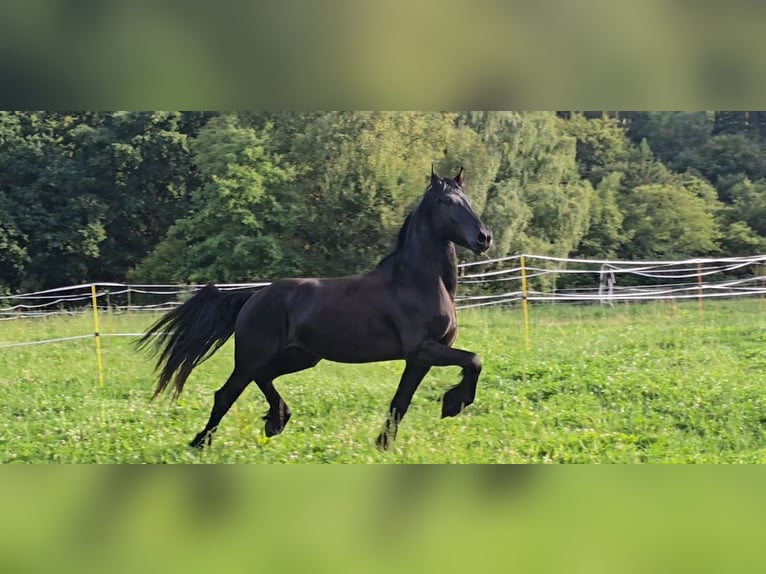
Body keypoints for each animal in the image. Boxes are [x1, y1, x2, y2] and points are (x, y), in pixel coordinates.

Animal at [137, 167, 492, 450]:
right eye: (447, 202)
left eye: (468, 199)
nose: (483, 238)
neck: (418, 282)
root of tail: (254, 295)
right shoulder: (421, 349)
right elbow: (474, 359)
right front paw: (453, 404)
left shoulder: (420, 358)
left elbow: (400, 403)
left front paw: (384, 444)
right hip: (253, 355)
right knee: (226, 394)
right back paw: (201, 443)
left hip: (300, 357)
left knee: (262, 378)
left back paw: (277, 420)